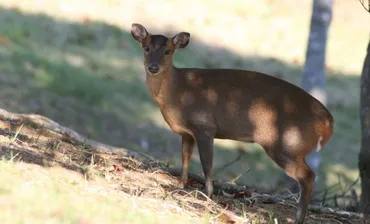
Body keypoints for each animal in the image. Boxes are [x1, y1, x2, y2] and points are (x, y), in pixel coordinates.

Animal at [132, 23, 334, 224]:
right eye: (146, 48)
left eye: (167, 51)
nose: (153, 67)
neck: (177, 93)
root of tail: (328, 122)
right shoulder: (187, 132)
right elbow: (185, 158)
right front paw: (180, 185)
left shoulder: (204, 126)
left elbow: (207, 163)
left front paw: (208, 195)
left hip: (287, 143)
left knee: (308, 176)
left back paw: (298, 218)